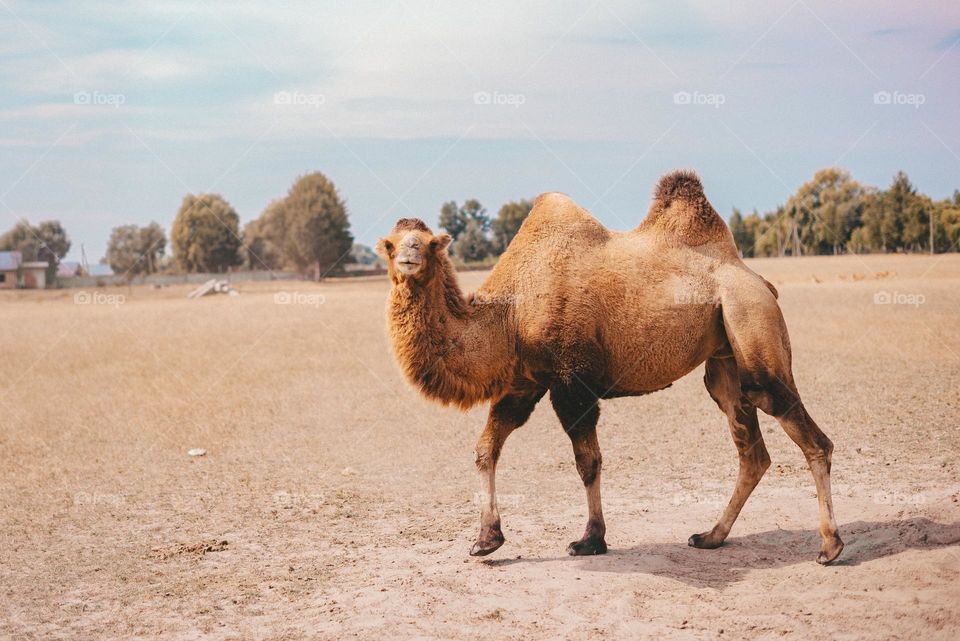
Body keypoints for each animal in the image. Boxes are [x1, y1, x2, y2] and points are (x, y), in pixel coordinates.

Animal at [375, 170, 844, 565]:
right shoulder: (525, 382)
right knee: (751, 450)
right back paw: (710, 536)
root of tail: (759, 280)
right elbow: (485, 449)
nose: (409, 258)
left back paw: (830, 546)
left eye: (429, 243)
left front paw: (590, 540)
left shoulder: (572, 382)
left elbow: (588, 463)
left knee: (807, 433)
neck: (509, 314)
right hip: (724, 358)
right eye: (391, 244)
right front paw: (486, 540)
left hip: (751, 319)